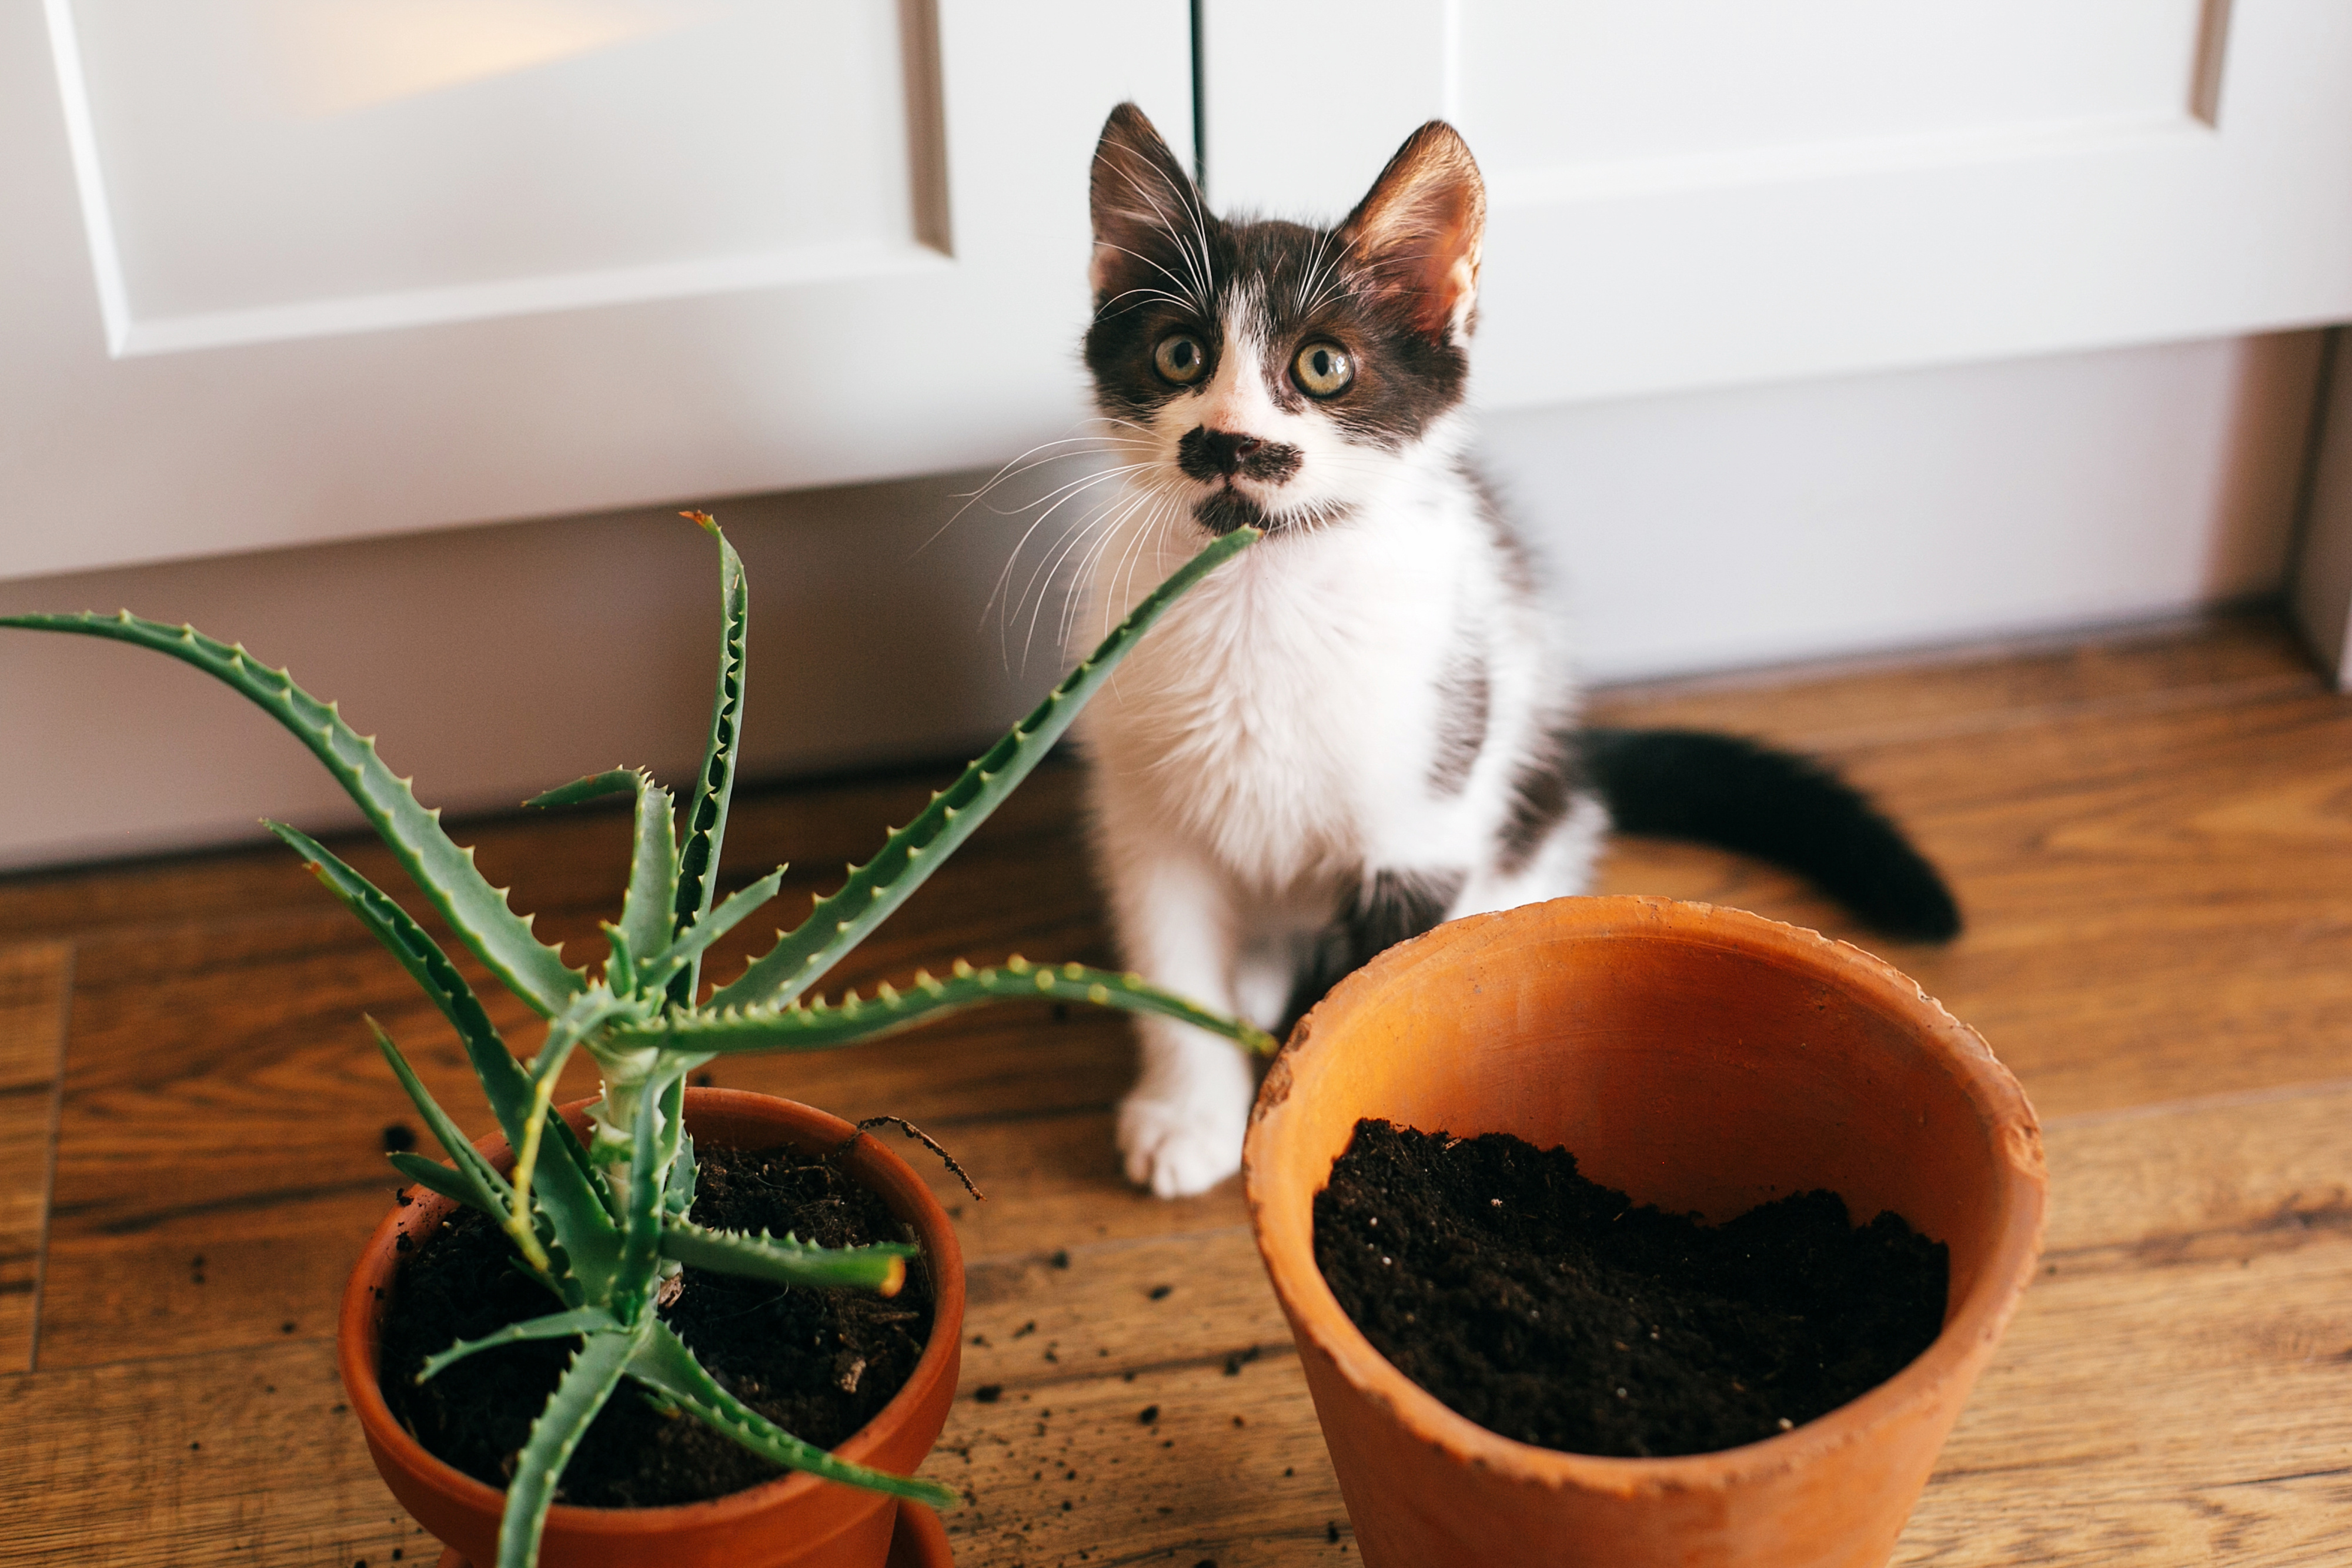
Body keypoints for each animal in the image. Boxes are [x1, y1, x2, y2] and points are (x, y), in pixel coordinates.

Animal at [1068, 101, 1947, 1203]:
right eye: (1180, 355)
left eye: (1322, 365)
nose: (1226, 441)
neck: (1259, 593)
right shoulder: (1143, 808)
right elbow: (1168, 961)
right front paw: (1190, 1110)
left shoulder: (1429, 803)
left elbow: (1371, 983)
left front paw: (1315, 1098)